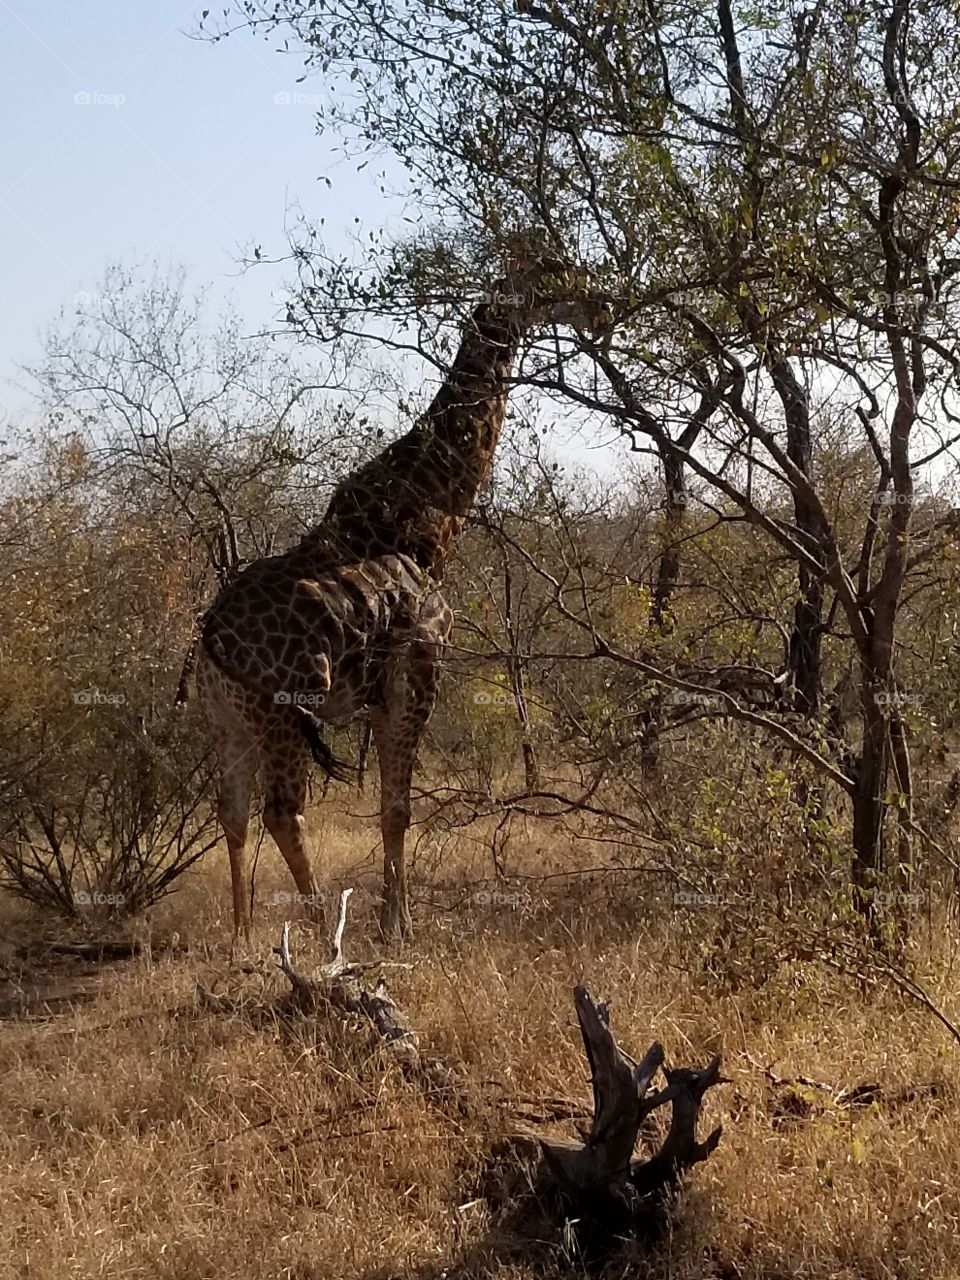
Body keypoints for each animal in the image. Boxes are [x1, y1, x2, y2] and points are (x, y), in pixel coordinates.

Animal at [195, 254, 610, 939]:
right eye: (557, 269)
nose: (602, 309)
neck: (428, 516)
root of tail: (206, 643)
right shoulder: (419, 664)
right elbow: (398, 807)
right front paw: (399, 927)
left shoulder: (382, 690)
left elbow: (391, 803)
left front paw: (396, 918)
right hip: (278, 711)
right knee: (282, 811)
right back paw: (321, 934)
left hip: (227, 718)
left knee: (231, 812)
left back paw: (241, 940)